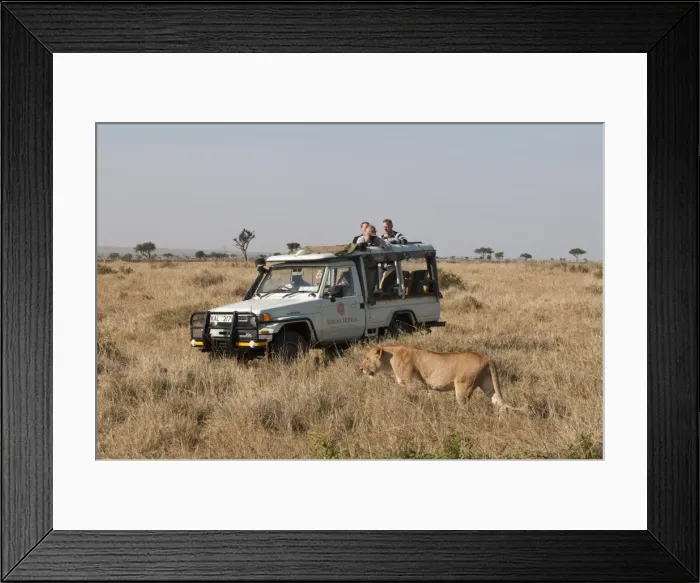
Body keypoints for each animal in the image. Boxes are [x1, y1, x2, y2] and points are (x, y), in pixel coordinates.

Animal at [359, 343, 515, 413]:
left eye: (367, 358)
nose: (360, 369)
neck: (390, 359)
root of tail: (486, 357)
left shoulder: (414, 384)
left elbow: (409, 399)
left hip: (463, 388)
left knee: (465, 408)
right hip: (488, 385)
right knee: (499, 402)